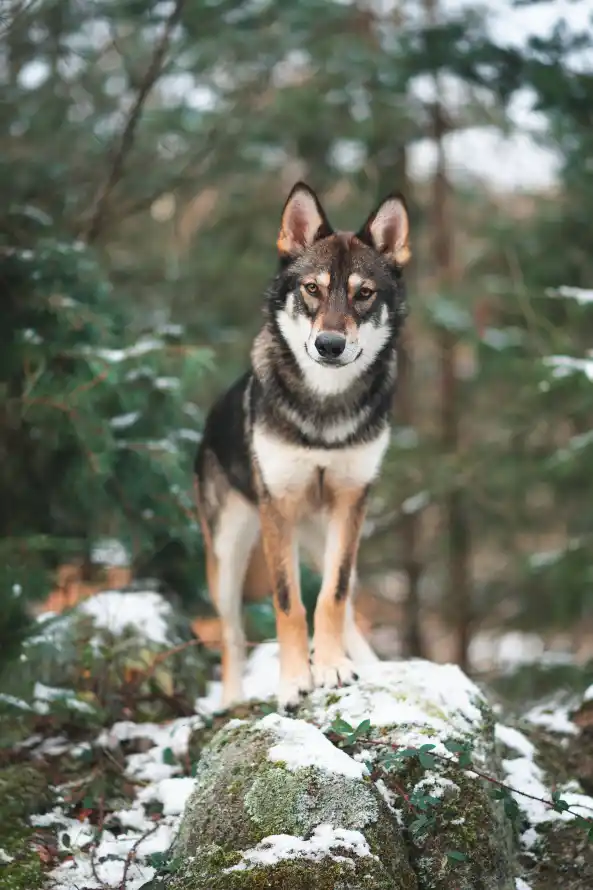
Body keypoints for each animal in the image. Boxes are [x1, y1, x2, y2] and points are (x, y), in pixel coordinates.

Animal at [194, 180, 412, 708]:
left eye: (364, 294)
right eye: (312, 289)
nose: (330, 345)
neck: (324, 411)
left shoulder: (353, 502)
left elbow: (331, 597)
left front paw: (332, 668)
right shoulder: (279, 507)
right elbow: (288, 603)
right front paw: (295, 681)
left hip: (329, 533)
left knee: (347, 602)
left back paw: (369, 665)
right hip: (228, 554)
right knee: (230, 634)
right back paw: (231, 701)